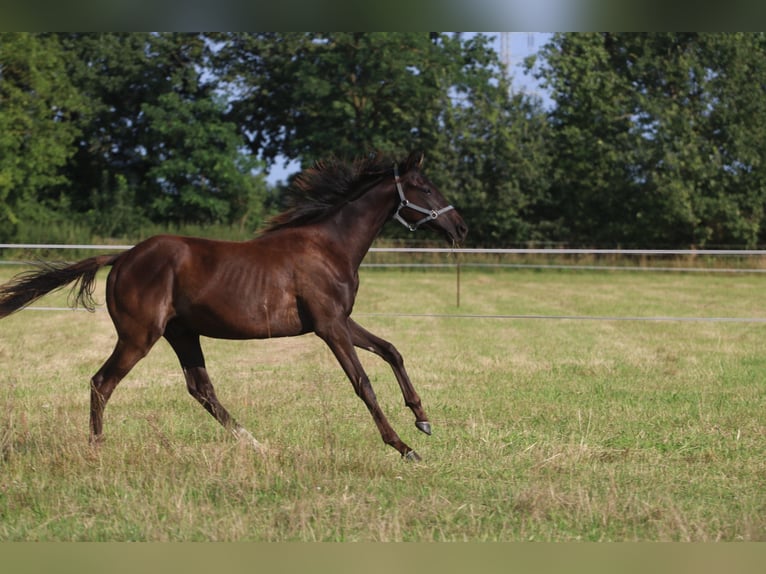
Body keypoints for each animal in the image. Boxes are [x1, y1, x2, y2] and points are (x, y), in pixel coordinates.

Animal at [0, 153, 468, 464]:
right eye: (426, 188)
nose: (461, 227)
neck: (330, 246)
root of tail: (122, 258)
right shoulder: (329, 326)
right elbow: (363, 383)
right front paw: (404, 447)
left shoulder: (340, 320)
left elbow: (391, 350)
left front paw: (423, 420)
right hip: (139, 336)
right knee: (102, 382)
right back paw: (97, 449)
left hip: (182, 333)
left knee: (201, 389)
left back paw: (255, 442)